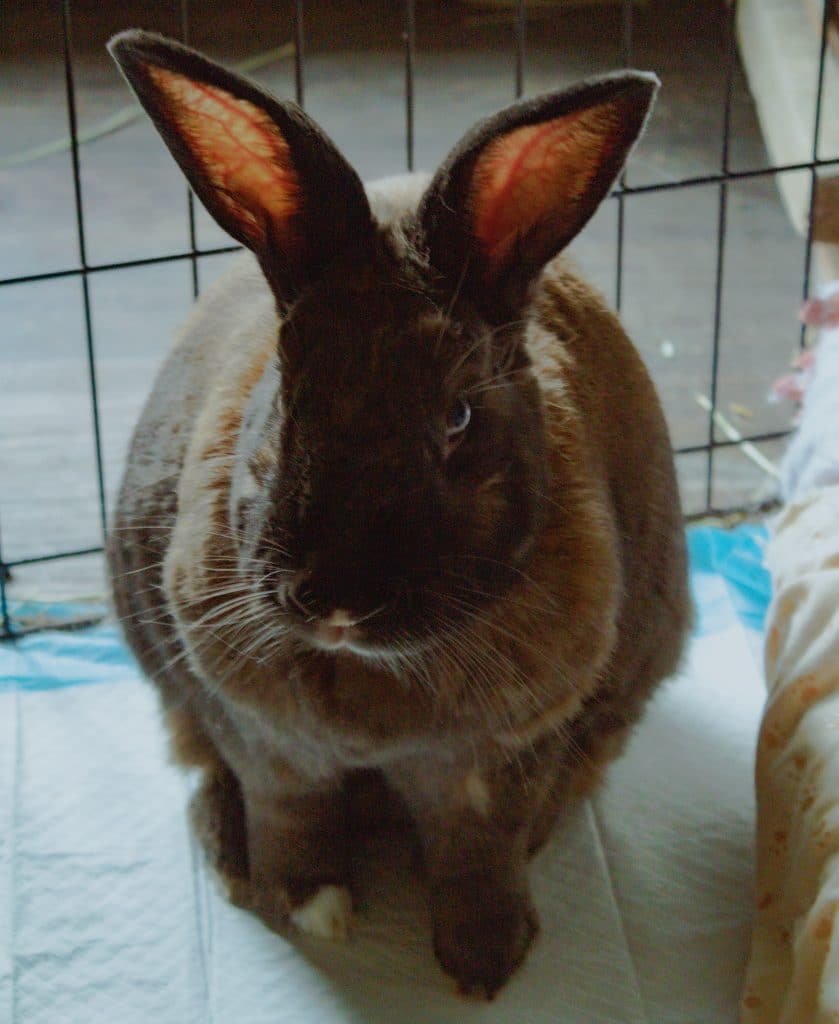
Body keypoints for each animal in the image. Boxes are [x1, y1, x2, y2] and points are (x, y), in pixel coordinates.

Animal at [107, 29, 691, 998]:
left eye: (457, 416)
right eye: (286, 394)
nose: (338, 598)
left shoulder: (498, 764)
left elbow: (474, 856)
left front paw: (484, 965)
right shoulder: (263, 742)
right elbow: (291, 818)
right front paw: (309, 906)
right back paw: (229, 859)